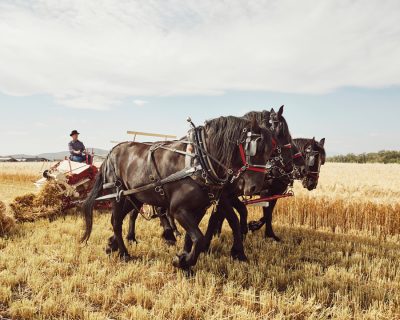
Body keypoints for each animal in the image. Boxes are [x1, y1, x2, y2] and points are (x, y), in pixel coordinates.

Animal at [81, 115, 276, 270]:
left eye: (270, 151)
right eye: (254, 148)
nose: (256, 187)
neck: (199, 162)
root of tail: (111, 152)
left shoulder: (199, 209)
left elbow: (193, 237)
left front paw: (184, 257)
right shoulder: (178, 210)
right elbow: (199, 238)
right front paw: (183, 261)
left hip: (133, 198)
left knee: (121, 219)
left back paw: (112, 245)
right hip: (118, 196)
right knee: (116, 222)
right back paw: (124, 254)